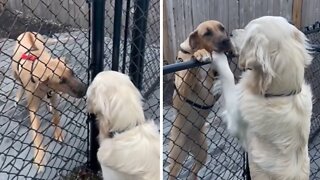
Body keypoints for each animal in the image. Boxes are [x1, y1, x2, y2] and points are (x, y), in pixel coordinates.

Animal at [11, 31, 87, 172]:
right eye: (61, 81)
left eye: (72, 72)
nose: (84, 90)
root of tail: (28, 32)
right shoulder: (33, 107)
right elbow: (36, 131)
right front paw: (39, 157)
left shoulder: (54, 95)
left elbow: (56, 116)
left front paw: (58, 133)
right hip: (14, 71)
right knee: (18, 82)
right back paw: (18, 96)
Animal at [168, 20, 232, 179]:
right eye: (207, 33)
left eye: (222, 28)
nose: (227, 40)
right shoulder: (183, 89)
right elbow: (191, 74)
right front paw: (200, 54)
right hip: (177, 157)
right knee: (173, 174)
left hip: (202, 152)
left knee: (193, 171)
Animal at [211, 16, 314, 179]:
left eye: (247, 32)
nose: (231, 33)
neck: (278, 95)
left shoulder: (236, 122)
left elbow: (229, 79)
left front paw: (219, 58)